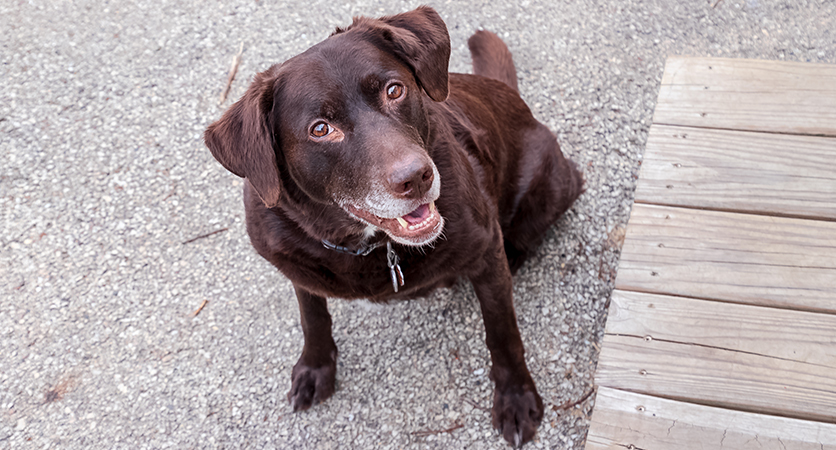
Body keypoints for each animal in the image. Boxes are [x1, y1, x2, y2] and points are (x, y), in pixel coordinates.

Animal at [204, 7, 580, 446]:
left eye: (394, 90)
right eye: (320, 129)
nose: (416, 177)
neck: (366, 243)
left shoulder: (486, 253)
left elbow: (503, 335)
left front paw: (516, 398)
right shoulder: (293, 264)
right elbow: (312, 317)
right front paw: (315, 369)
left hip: (551, 185)